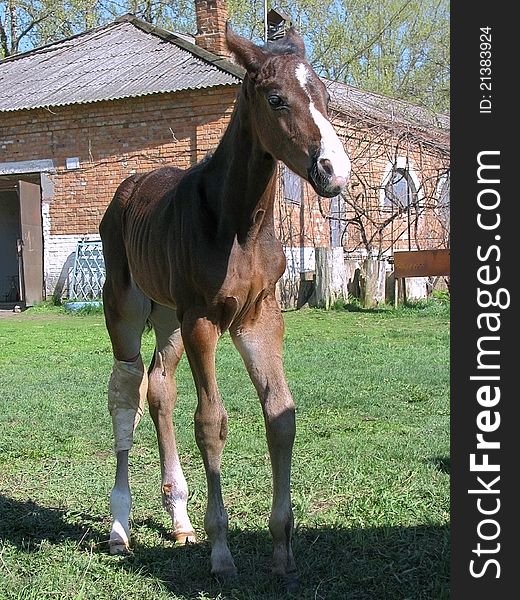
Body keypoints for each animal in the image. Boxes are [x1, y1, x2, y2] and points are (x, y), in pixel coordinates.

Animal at [99, 25, 352, 588]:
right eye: (275, 98)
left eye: (325, 96)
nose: (334, 171)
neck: (239, 223)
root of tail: (129, 186)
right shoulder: (203, 320)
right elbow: (211, 422)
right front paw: (222, 554)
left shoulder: (260, 317)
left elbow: (281, 415)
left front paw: (282, 551)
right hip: (127, 308)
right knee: (126, 390)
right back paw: (120, 527)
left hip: (168, 317)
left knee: (159, 388)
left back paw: (179, 519)